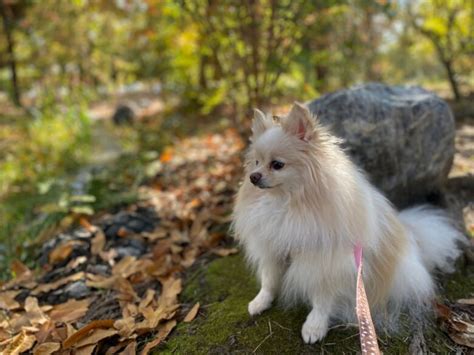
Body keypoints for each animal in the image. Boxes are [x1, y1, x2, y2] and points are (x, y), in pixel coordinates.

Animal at [233, 102, 462, 344]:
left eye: (277, 165)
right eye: (256, 162)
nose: (254, 176)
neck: (287, 203)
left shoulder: (326, 262)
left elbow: (322, 298)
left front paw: (314, 326)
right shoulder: (272, 250)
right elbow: (268, 281)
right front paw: (261, 301)